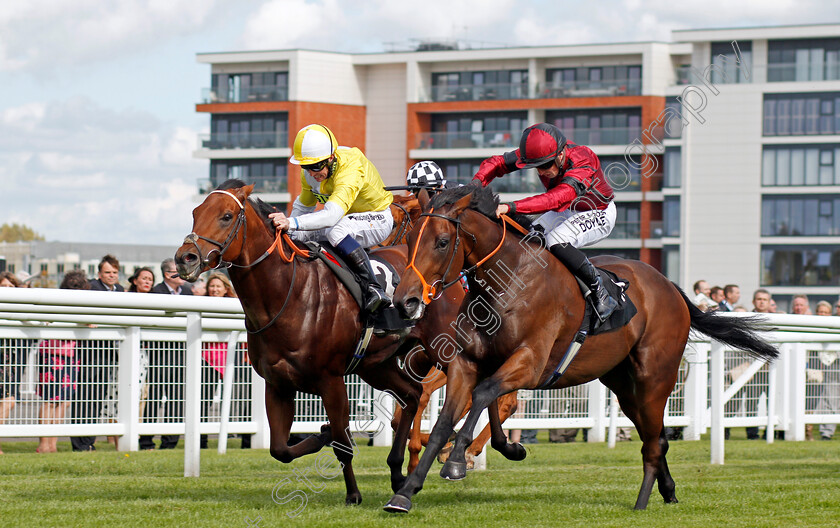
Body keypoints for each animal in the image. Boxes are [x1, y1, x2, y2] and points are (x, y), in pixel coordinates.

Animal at [175, 180, 470, 504]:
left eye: (226, 216)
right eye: (195, 212)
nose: (185, 258)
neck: (288, 294)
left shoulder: (331, 381)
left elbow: (343, 445)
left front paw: (353, 494)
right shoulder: (277, 384)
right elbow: (280, 449)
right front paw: (324, 435)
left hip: (443, 351)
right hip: (376, 366)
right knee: (413, 394)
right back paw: (397, 472)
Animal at [384, 185, 776, 512]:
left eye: (441, 241)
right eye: (412, 237)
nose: (405, 300)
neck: (508, 280)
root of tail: (670, 286)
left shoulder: (530, 363)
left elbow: (483, 395)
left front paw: (455, 461)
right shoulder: (466, 362)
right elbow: (446, 421)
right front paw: (406, 491)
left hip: (655, 378)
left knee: (653, 441)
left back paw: (642, 501)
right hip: (623, 384)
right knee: (654, 436)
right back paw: (668, 491)